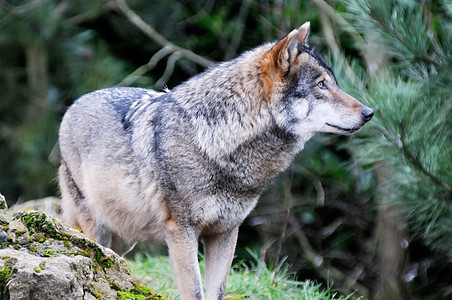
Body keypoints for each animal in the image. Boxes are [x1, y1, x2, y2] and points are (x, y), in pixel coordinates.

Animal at [58, 22, 372, 300]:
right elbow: (195, 292)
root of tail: (72, 106)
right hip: (97, 229)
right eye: (321, 85)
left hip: (123, 238)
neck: (215, 142)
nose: (369, 113)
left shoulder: (226, 231)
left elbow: (217, 290)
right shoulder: (181, 231)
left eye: (333, 83)